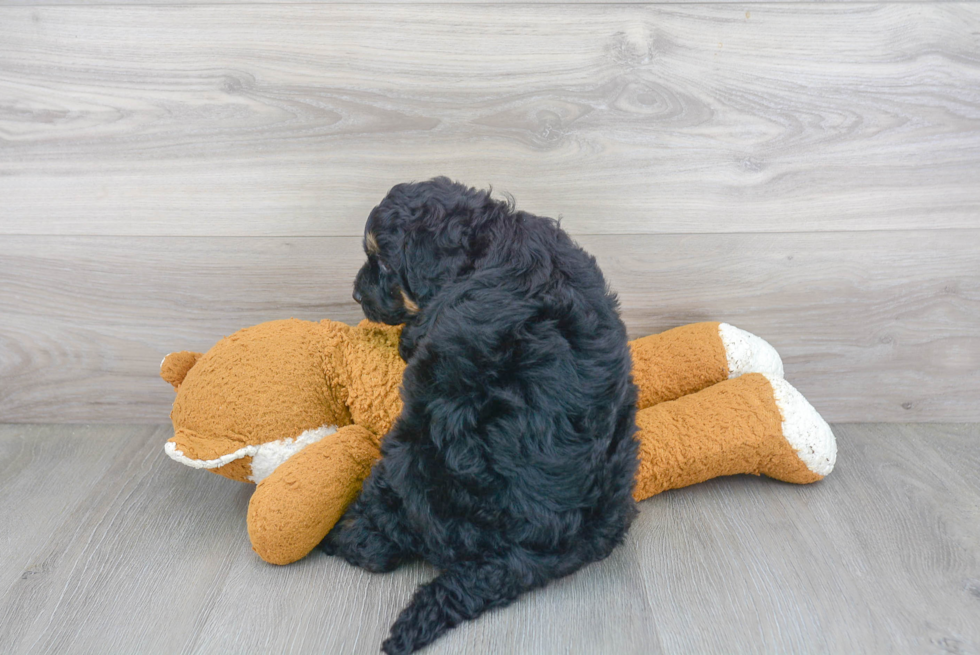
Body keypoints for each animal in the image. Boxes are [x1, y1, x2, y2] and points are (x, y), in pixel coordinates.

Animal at [322, 177, 640, 652]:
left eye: (382, 262)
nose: (357, 294)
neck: (486, 238)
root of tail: (518, 554)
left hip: (408, 454)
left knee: (384, 537)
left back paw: (346, 535)